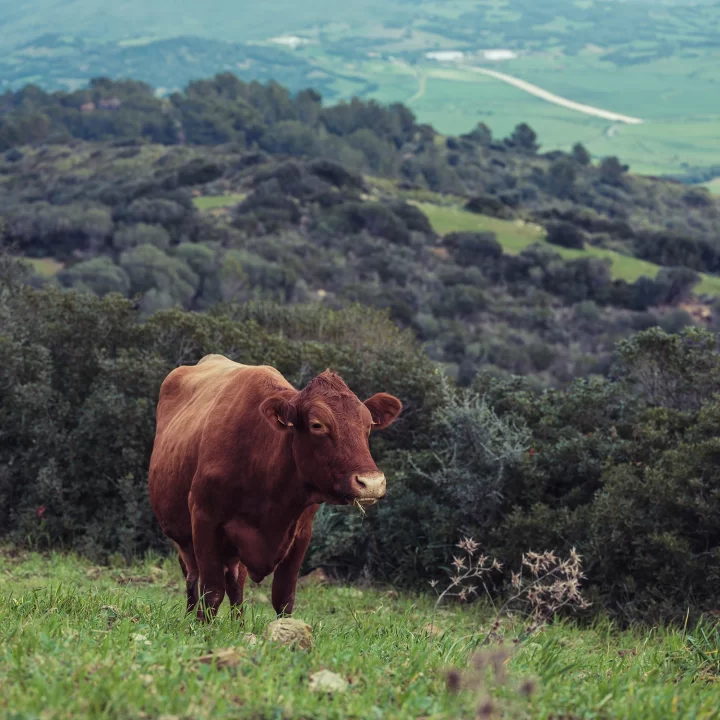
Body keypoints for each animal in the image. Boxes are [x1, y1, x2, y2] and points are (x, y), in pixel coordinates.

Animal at [148, 354, 403, 620]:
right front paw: (202, 627)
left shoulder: (301, 533)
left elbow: (283, 597)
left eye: (368, 425)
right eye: (317, 425)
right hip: (184, 536)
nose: (371, 482)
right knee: (192, 576)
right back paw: (190, 617)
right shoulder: (204, 519)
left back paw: (237, 624)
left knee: (235, 583)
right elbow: (212, 592)